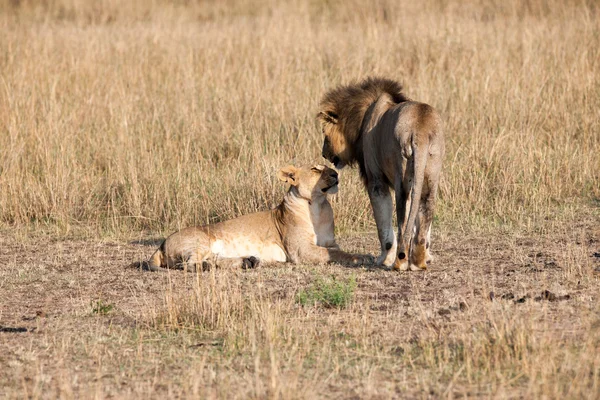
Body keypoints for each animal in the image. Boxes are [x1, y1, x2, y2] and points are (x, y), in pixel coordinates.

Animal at [142, 163, 372, 272]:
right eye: (316, 169)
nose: (336, 174)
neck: (317, 205)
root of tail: (161, 244)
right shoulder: (300, 250)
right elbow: (335, 254)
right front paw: (362, 258)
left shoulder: (330, 242)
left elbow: (337, 250)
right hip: (200, 241)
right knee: (188, 264)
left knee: (213, 259)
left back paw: (249, 261)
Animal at [318, 76, 446, 270]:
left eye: (325, 134)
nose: (323, 153)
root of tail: (420, 131)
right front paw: (429, 256)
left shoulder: (376, 180)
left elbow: (383, 225)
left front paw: (384, 259)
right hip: (430, 171)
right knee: (426, 207)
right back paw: (418, 261)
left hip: (401, 175)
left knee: (402, 218)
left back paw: (400, 263)